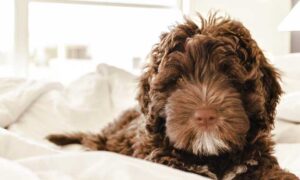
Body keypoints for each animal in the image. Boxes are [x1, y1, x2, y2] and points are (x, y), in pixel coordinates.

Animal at [47, 14, 298, 180]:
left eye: (231, 78)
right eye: (177, 80)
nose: (205, 116)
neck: (211, 156)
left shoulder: (256, 159)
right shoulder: (160, 157)